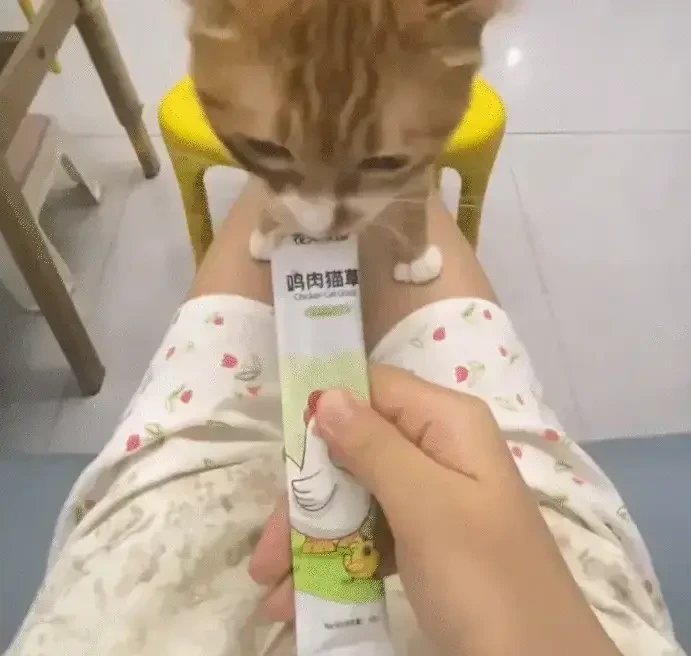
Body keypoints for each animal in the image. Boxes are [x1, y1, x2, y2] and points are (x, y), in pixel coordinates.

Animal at [188, 0, 497, 283]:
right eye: (265, 148)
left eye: (387, 162)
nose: (325, 229)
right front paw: (271, 225)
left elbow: (415, 191)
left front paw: (415, 255)